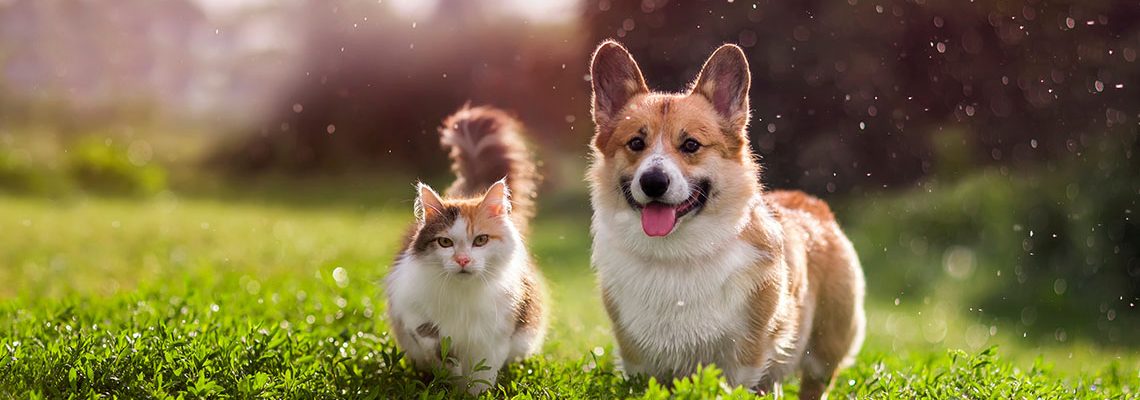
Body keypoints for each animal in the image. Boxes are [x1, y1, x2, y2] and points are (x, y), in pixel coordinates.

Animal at [385, 105, 549, 394]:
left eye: (481, 240)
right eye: (445, 243)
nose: (462, 260)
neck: (463, 296)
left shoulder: (496, 334)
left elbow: (482, 375)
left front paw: (473, 392)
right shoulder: (409, 310)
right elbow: (434, 341)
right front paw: (449, 372)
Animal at [588, 41, 861, 400]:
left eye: (691, 145)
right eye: (636, 143)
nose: (653, 182)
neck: (676, 255)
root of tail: (812, 203)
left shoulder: (744, 356)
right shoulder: (637, 359)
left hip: (824, 351)